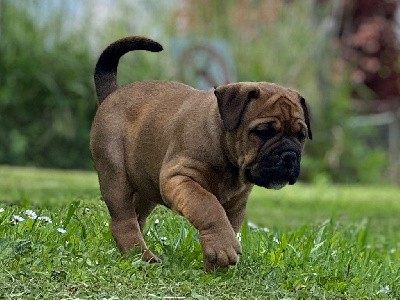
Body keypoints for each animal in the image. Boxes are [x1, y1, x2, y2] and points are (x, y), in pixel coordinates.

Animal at [90, 35, 312, 272]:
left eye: (301, 136)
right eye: (263, 132)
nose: (289, 156)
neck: (228, 157)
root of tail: (113, 93)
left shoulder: (236, 202)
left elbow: (229, 224)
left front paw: (216, 265)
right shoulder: (180, 177)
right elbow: (209, 207)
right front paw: (223, 249)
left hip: (145, 184)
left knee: (137, 216)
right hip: (115, 175)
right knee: (123, 221)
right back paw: (142, 257)